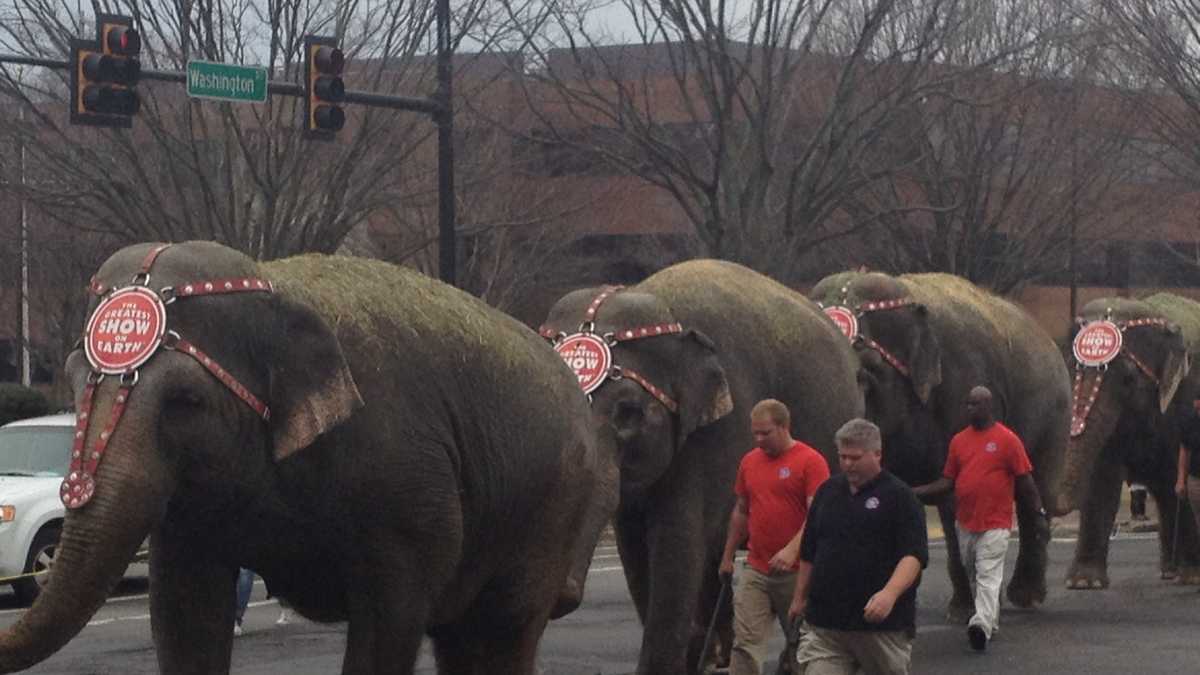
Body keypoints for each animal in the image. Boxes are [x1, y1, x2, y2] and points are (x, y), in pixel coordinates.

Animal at [0, 239, 619, 667]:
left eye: (185, 401)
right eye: (74, 380)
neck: (274, 282)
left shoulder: (405, 479)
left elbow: (392, 615)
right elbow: (183, 611)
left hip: (553, 507)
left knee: (504, 628)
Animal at [542, 258, 864, 672]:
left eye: (628, 414)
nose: (561, 593)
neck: (663, 306)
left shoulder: (720, 431)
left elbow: (676, 545)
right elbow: (636, 547)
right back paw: (716, 656)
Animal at [806, 270, 1070, 612]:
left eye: (867, 371)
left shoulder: (963, 388)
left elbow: (956, 500)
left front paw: (962, 611)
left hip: (1054, 416)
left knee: (1036, 491)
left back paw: (1025, 596)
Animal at [1060, 291, 1200, 586]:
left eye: (1127, 379)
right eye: (1071, 369)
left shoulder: (1184, 396)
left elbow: (1178, 475)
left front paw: (1192, 577)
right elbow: (1101, 476)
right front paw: (1084, 583)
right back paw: (1169, 572)